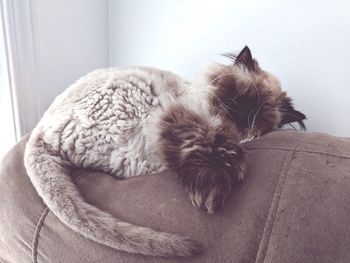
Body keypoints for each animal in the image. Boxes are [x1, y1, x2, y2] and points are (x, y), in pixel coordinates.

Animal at [23, 47, 304, 258]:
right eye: (241, 95)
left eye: (260, 113)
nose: (243, 115)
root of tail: (37, 133)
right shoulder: (186, 117)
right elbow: (207, 145)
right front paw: (212, 189)